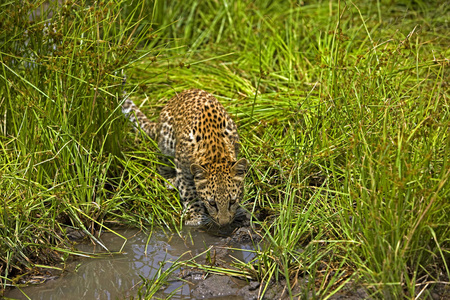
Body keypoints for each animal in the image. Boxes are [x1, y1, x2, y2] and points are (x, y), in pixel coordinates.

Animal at [123, 88, 248, 226]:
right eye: (212, 203)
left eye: (232, 201)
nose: (224, 224)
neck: (216, 154)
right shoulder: (182, 168)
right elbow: (189, 192)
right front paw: (194, 217)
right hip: (166, 143)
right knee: (162, 164)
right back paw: (170, 179)